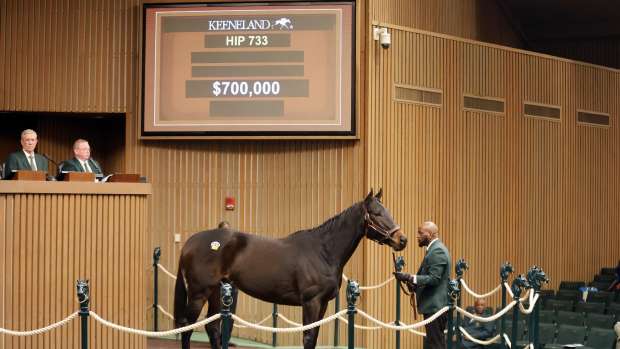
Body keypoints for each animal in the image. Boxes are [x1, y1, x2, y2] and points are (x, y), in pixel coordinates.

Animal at [174, 189, 406, 346]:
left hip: (216, 291)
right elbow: (308, 337)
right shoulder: (311, 302)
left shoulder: (322, 304)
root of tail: (190, 242)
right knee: (187, 327)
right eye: (376, 213)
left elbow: (314, 336)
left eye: (387, 211)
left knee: (212, 327)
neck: (323, 250)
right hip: (199, 293)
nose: (402, 240)